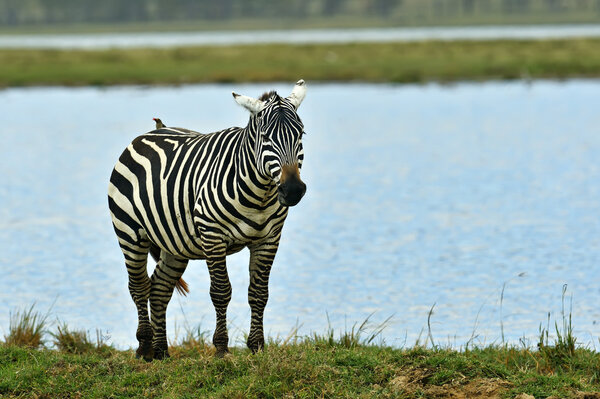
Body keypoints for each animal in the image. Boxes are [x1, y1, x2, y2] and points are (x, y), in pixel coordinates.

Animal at [106, 79, 310, 360]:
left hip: (174, 243)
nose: (292, 190)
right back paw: (144, 346)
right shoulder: (213, 236)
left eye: (301, 134)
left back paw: (161, 351)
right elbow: (221, 292)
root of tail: (155, 130)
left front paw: (257, 346)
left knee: (159, 288)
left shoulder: (268, 239)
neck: (259, 194)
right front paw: (222, 348)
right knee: (138, 286)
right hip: (129, 232)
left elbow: (259, 293)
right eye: (265, 137)